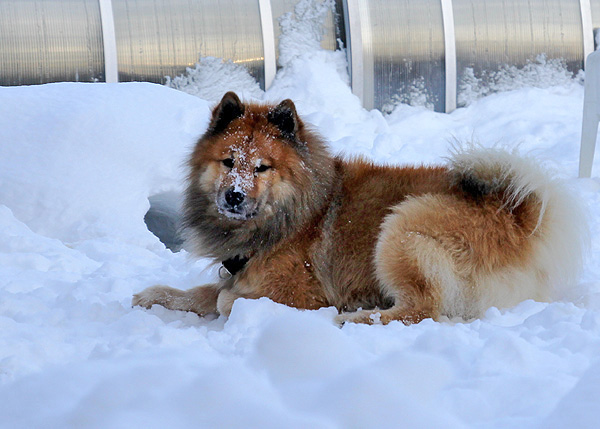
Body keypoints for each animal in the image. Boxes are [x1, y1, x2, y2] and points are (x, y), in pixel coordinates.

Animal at [132, 91, 584, 324]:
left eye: (262, 167)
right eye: (228, 162)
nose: (234, 196)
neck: (293, 213)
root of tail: (518, 216)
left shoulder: (296, 291)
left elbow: (228, 299)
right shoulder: (237, 271)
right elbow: (200, 293)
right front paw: (154, 295)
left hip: (402, 228)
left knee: (421, 310)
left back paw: (355, 317)